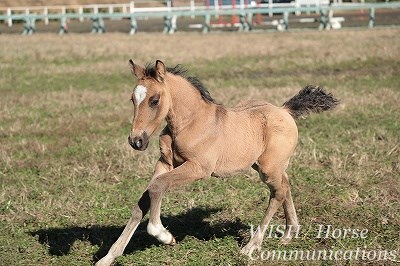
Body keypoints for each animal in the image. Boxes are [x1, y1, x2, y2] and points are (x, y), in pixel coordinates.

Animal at [95, 59, 340, 264]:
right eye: (132, 99)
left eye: (154, 100)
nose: (136, 141)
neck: (190, 123)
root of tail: (285, 110)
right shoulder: (164, 163)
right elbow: (142, 203)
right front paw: (108, 257)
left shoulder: (198, 168)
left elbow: (158, 187)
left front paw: (164, 235)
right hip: (269, 165)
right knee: (285, 186)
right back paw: (289, 234)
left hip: (269, 168)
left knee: (278, 193)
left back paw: (252, 246)